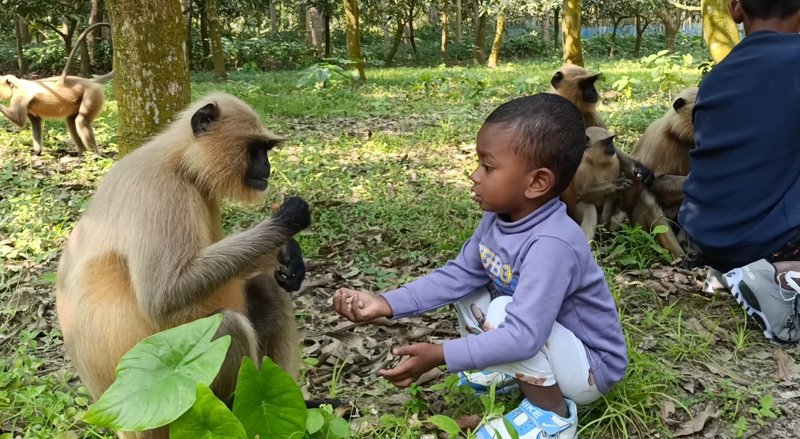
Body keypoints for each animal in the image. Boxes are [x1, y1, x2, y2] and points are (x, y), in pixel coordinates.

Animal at [0, 22, 113, 155]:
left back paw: (93, 155)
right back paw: (82, 153)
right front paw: (37, 152)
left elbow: (19, 121)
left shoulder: (20, 97)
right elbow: (36, 121)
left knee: (82, 121)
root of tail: (90, 81)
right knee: (71, 121)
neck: (18, 85)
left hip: (92, 94)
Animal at [55, 93, 310, 439]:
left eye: (265, 150)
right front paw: (287, 221)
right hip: (164, 398)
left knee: (267, 288)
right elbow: (163, 298)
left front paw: (288, 255)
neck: (178, 162)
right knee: (226, 328)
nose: (267, 167)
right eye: (255, 149)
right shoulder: (159, 191)